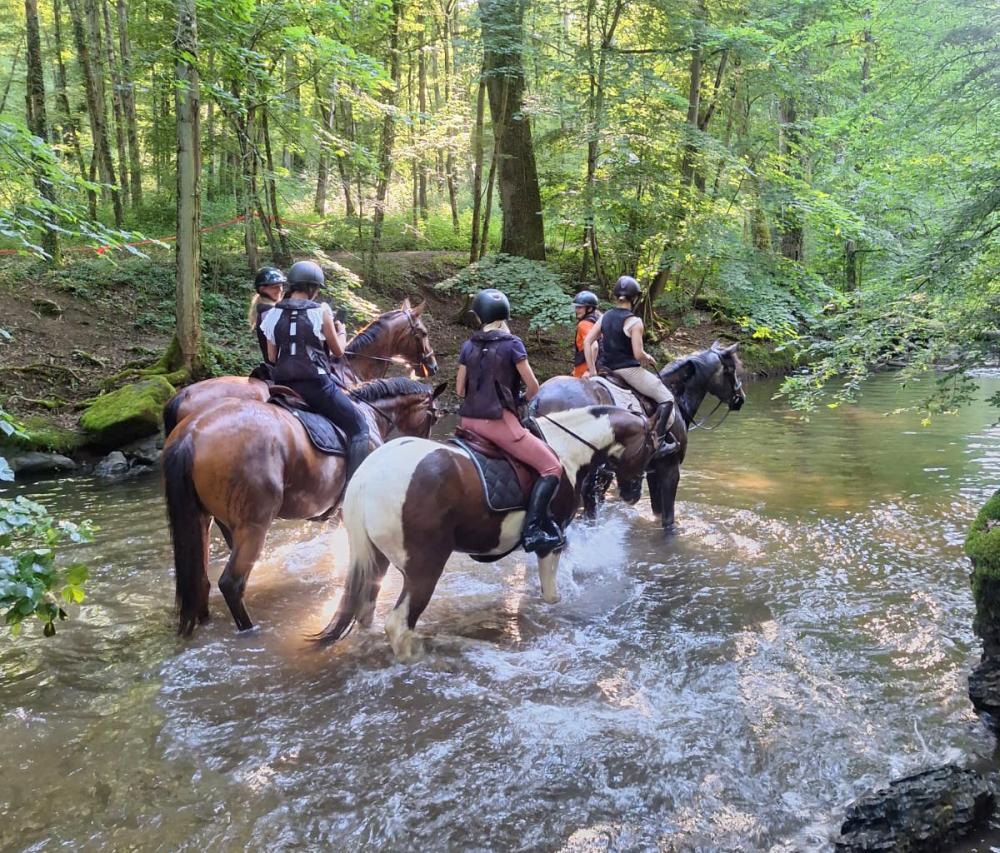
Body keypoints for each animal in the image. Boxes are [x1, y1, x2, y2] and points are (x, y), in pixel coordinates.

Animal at [162, 376, 447, 636]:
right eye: (433, 417)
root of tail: (192, 432)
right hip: (254, 525)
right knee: (231, 583)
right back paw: (251, 631)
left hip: (204, 519)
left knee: (201, 579)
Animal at [315, 405, 656, 661]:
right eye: (651, 445)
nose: (633, 494)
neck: (566, 451)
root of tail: (367, 476)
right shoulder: (552, 541)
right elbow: (551, 595)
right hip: (424, 567)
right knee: (399, 625)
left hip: (377, 559)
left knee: (367, 611)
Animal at [531, 342, 745, 533]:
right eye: (731, 369)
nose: (740, 399)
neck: (676, 396)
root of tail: (538, 399)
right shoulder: (670, 468)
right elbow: (668, 518)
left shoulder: (651, 471)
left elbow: (657, 510)